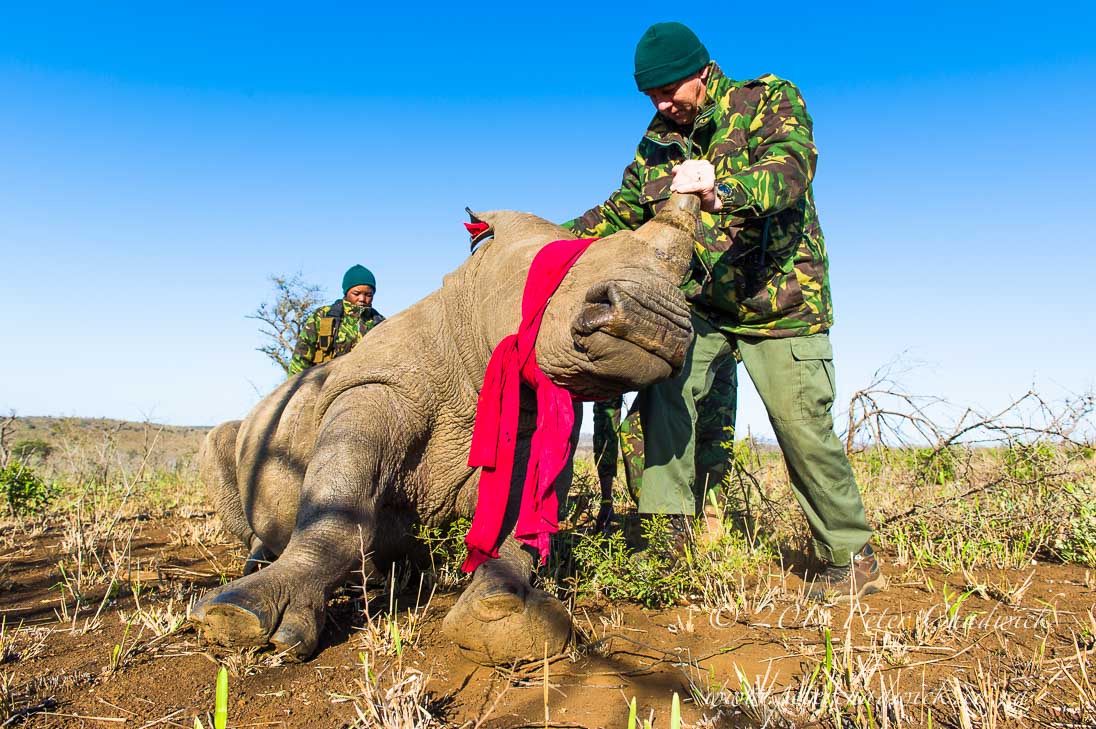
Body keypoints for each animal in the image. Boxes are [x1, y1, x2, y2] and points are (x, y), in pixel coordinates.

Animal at [192, 194, 700, 664]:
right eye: (551, 273)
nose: (656, 317)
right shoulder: (371, 385)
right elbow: (335, 513)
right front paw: (239, 618)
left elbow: (512, 532)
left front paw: (508, 622)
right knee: (217, 442)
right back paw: (256, 565)